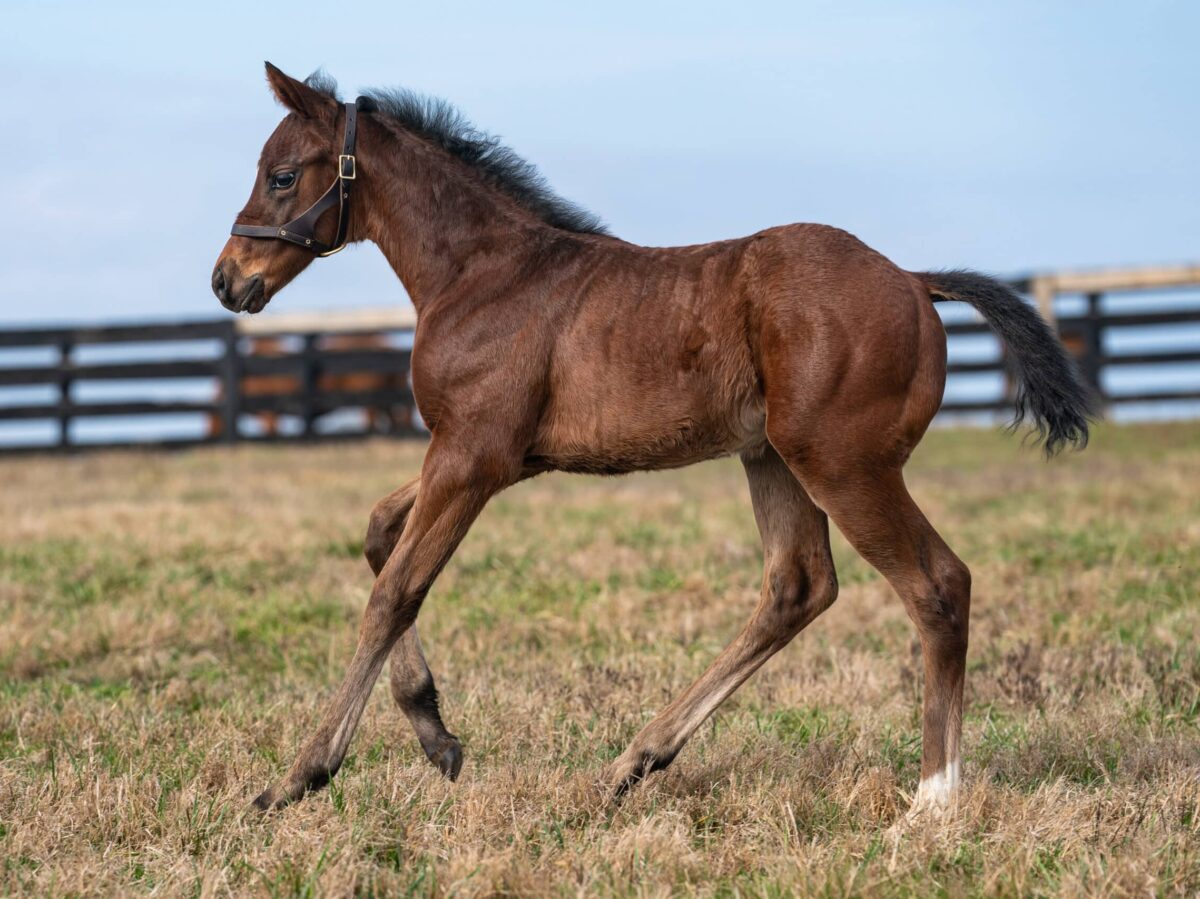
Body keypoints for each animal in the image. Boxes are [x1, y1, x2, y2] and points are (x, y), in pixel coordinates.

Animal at [211, 63, 1094, 811]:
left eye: (282, 175)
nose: (227, 279)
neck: (482, 274)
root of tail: (914, 282)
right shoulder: (492, 456)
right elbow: (377, 534)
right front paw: (437, 735)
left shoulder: (473, 456)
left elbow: (394, 590)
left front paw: (299, 776)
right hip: (772, 456)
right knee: (798, 585)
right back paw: (631, 763)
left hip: (844, 463)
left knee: (937, 585)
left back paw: (932, 801)